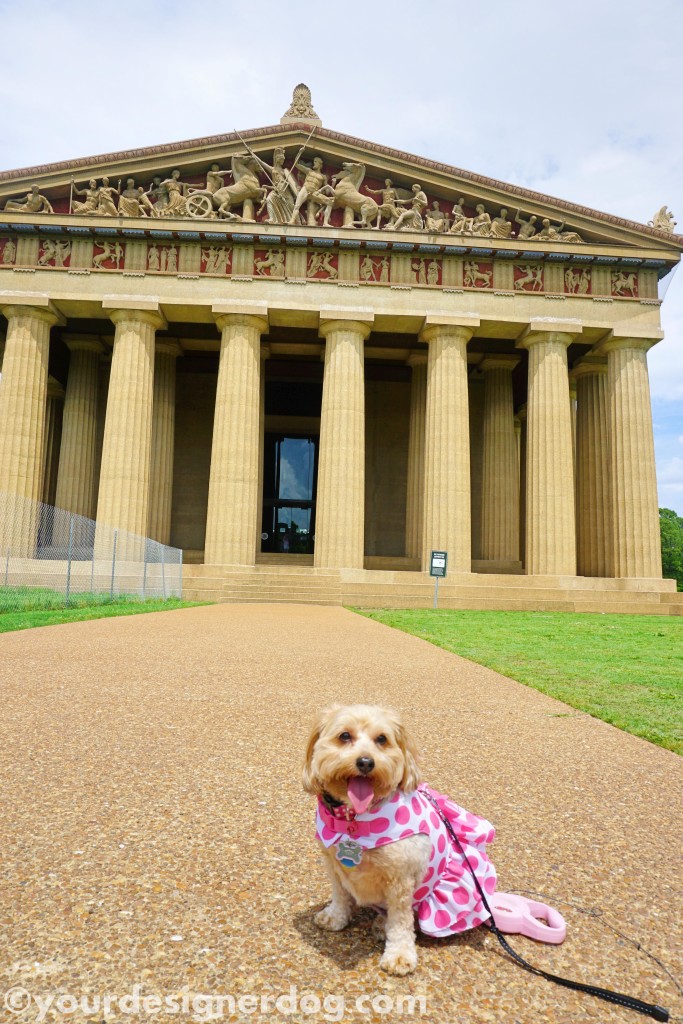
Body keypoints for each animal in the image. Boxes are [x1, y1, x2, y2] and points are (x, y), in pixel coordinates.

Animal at [305, 704, 497, 974]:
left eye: (382, 739)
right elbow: (340, 895)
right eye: (344, 736)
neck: (354, 819)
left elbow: (401, 922)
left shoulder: (401, 880)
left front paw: (398, 954)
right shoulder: (333, 866)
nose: (366, 762)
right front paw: (335, 916)